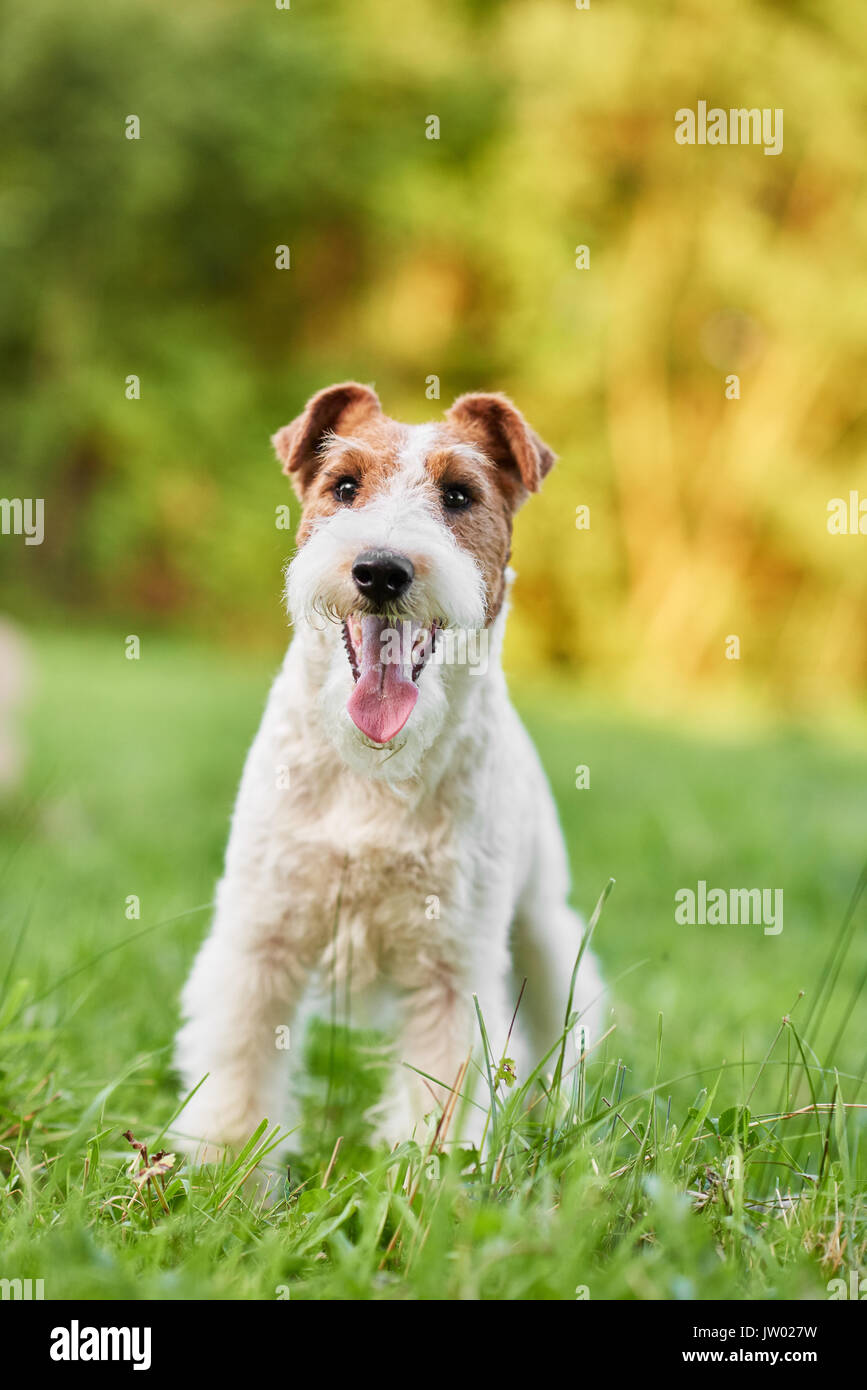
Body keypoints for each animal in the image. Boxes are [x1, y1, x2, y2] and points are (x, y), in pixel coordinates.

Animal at [173, 380, 605, 1150]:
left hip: (542, 931)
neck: (370, 772)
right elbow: (238, 1072)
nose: (380, 569)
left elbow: (437, 1103)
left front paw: (424, 1177)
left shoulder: (450, 968)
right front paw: (222, 1166)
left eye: (459, 494)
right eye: (344, 486)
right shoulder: (260, 937)